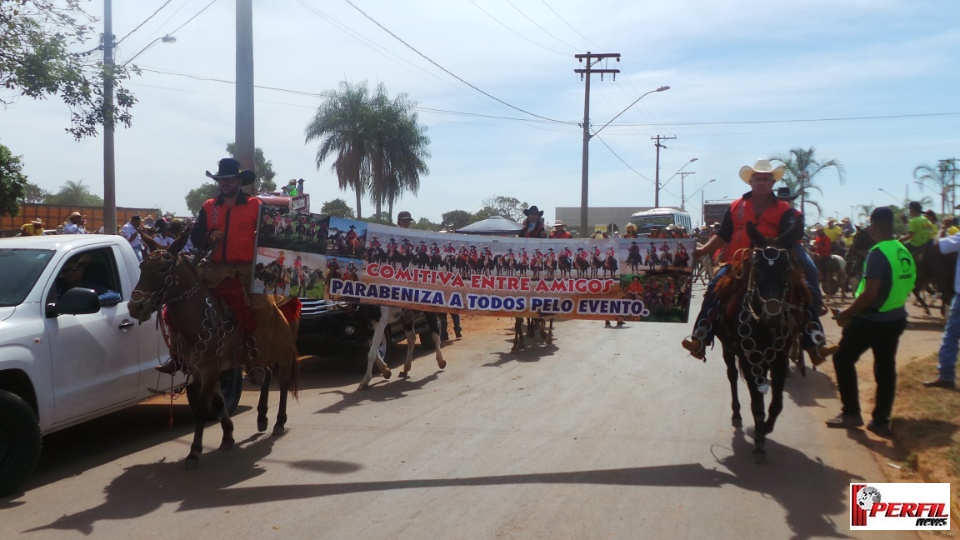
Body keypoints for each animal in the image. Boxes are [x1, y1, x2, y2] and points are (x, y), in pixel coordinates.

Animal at [129, 230, 298, 470]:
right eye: (142, 265)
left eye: (163, 268)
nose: (135, 307)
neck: (199, 315)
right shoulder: (201, 370)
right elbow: (218, 402)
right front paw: (228, 435)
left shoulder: (209, 369)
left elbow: (202, 409)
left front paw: (194, 452)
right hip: (259, 357)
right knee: (264, 376)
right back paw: (262, 418)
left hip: (283, 355)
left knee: (282, 384)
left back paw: (279, 422)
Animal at [712, 219, 808, 464]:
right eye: (756, 266)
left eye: (786, 267)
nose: (772, 312)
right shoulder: (748, 360)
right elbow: (756, 403)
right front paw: (759, 442)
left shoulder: (780, 360)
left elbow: (776, 404)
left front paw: (765, 429)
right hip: (728, 350)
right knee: (732, 377)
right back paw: (736, 414)